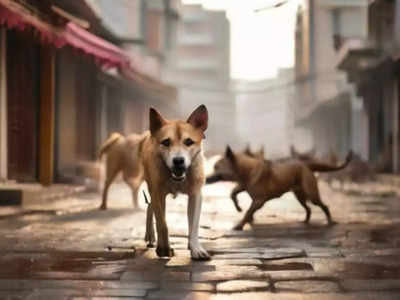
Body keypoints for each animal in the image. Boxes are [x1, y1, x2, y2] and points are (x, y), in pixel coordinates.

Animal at [208, 146, 352, 230]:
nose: (207, 178)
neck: (246, 171)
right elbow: (233, 193)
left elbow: (248, 211)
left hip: (311, 194)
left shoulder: (259, 200)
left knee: (323, 206)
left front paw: (241, 224)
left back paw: (330, 221)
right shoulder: (243, 186)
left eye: (216, 167)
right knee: (308, 208)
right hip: (299, 195)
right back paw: (305, 220)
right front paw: (239, 208)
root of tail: (305, 164)